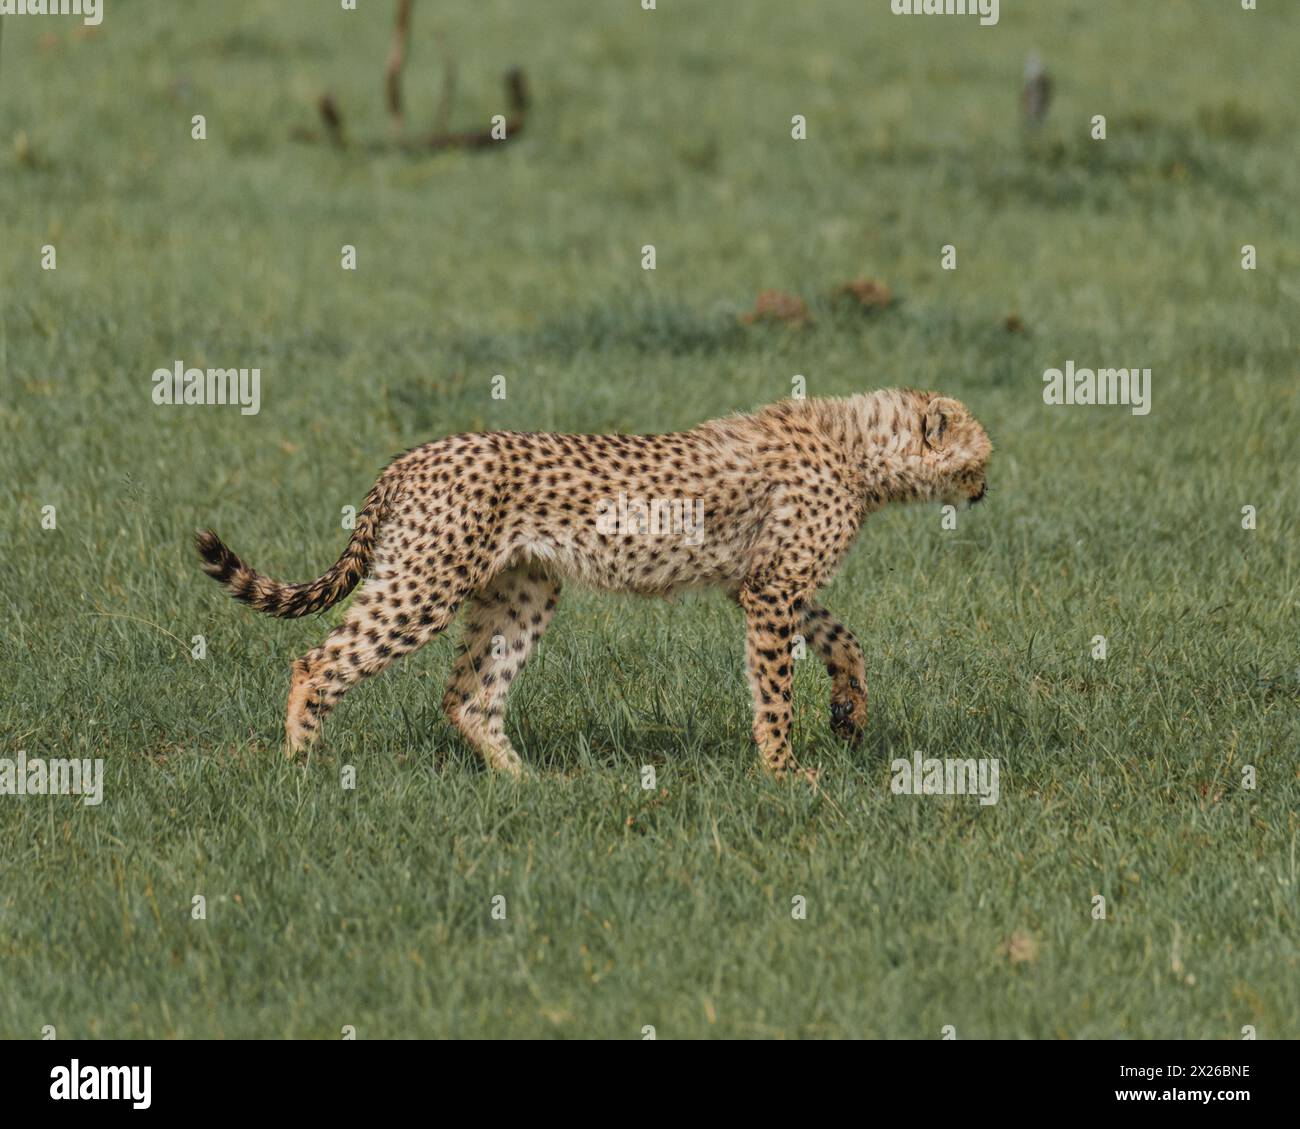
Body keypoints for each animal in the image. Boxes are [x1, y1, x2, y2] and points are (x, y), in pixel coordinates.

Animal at [192, 387, 987, 775]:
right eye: (979, 460)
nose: (984, 492)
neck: (859, 449)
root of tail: (412, 456)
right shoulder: (771, 590)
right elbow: (775, 692)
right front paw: (786, 772)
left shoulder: (759, 581)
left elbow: (844, 639)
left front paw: (849, 710)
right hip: (427, 583)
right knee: (318, 660)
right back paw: (301, 762)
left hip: (521, 589)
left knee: (468, 696)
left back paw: (529, 786)